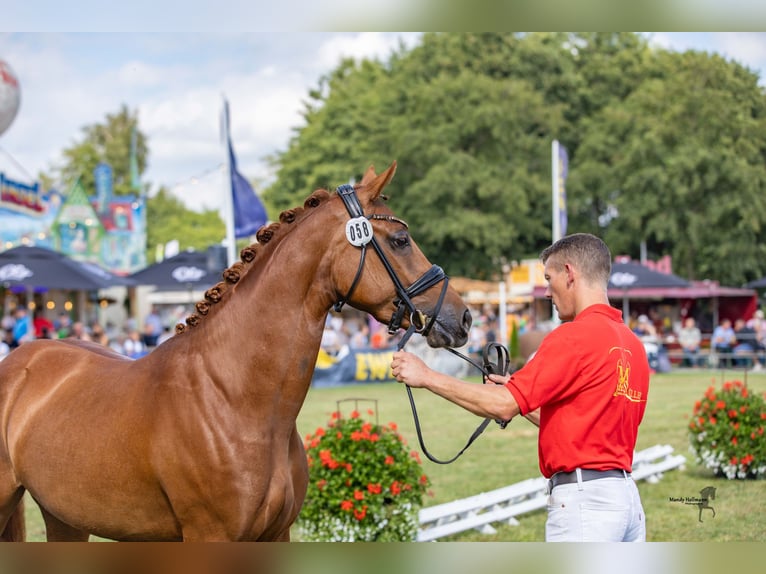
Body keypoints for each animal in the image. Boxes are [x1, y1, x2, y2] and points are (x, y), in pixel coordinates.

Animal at [0, 164, 472, 544]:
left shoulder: (276, 535)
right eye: (401, 240)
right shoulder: (211, 536)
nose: (463, 317)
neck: (233, 398)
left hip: (65, 517)